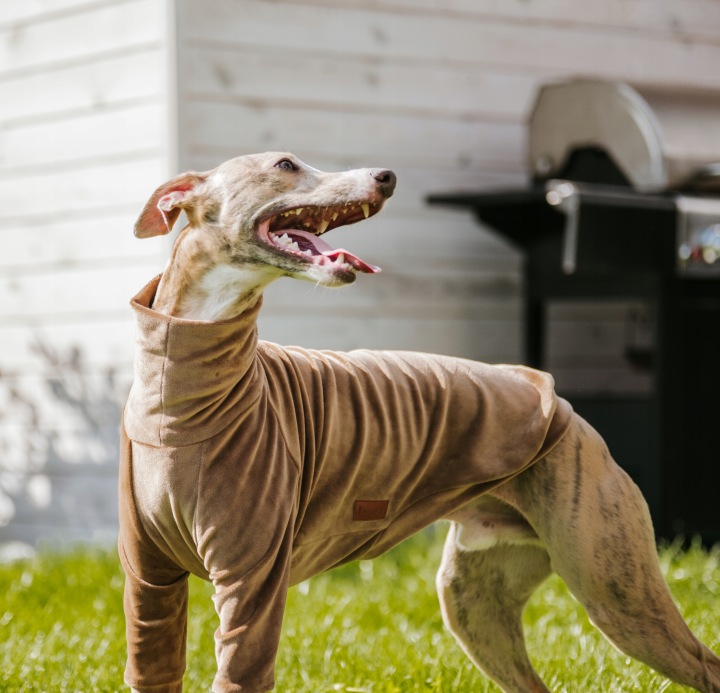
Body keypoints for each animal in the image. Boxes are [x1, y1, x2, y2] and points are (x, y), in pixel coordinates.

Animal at [119, 152, 720, 693]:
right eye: (286, 164)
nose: (387, 177)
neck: (184, 389)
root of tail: (557, 400)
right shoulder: (150, 581)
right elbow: (154, 669)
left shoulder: (252, 579)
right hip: (475, 602)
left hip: (615, 589)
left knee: (703, 664)